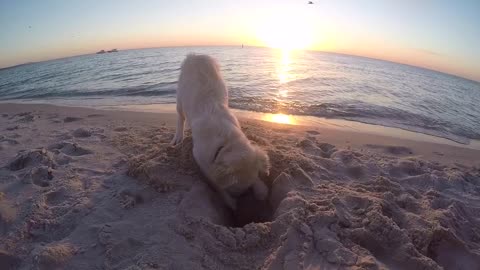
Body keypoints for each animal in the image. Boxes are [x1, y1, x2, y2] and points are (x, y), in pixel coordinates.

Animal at [172, 53, 270, 210]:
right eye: (235, 189)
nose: (242, 198)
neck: (226, 141)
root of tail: (195, 56)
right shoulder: (202, 161)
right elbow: (216, 183)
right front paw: (229, 201)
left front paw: (261, 189)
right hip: (180, 97)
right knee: (180, 117)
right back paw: (178, 137)